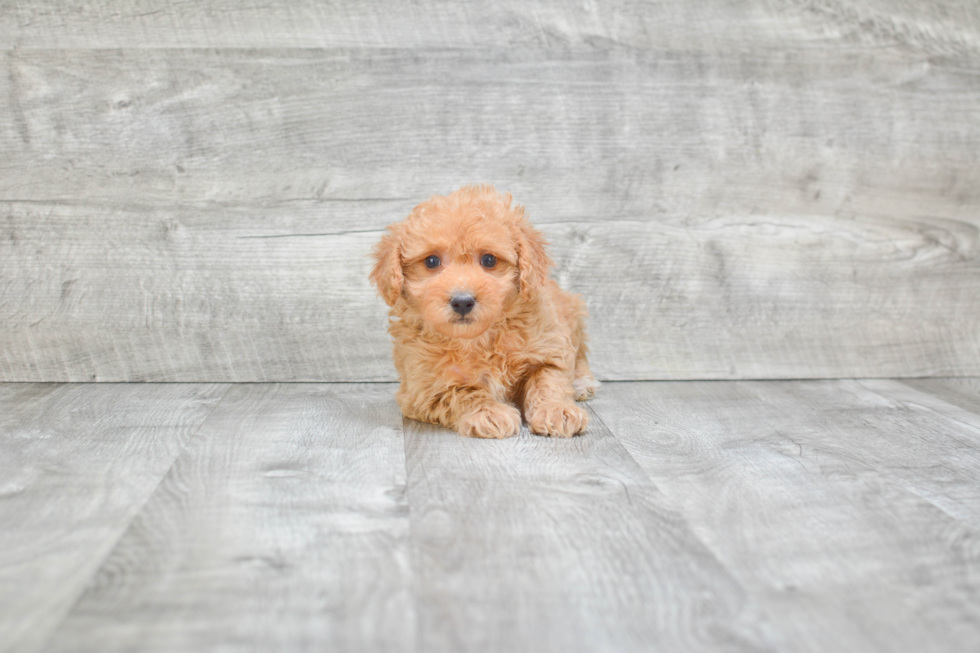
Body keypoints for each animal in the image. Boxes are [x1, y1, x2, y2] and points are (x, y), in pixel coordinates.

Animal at [370, 183, 592, 438]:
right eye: (431, 261)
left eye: (489, 260)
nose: (462, 301)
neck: (478, 339)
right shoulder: (423, 388)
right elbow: (463, 392)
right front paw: (489, 413)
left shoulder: (548, 347)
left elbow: (548, 379)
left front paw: (556, 410)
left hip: (573, 314)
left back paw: (582, 383)